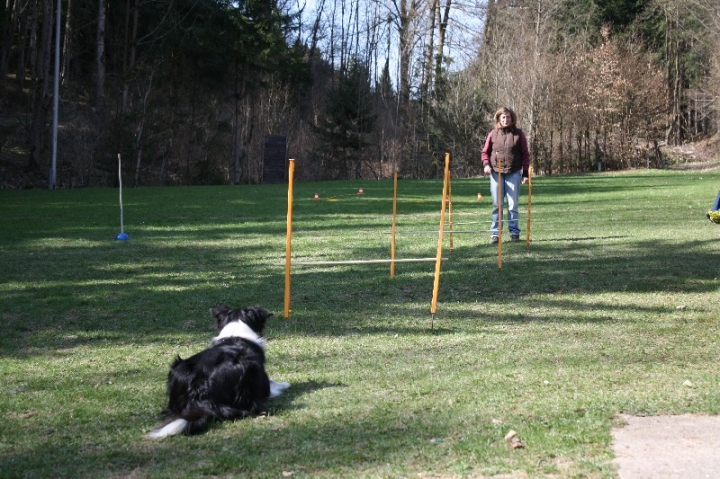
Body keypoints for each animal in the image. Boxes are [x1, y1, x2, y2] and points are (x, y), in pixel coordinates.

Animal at [146, 306, 290, 440]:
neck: (235, 334)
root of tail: (196, 394)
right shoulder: (263, 382)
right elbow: (273, 385)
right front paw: (284, 384)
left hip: (177, 366)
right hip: (249, 371)